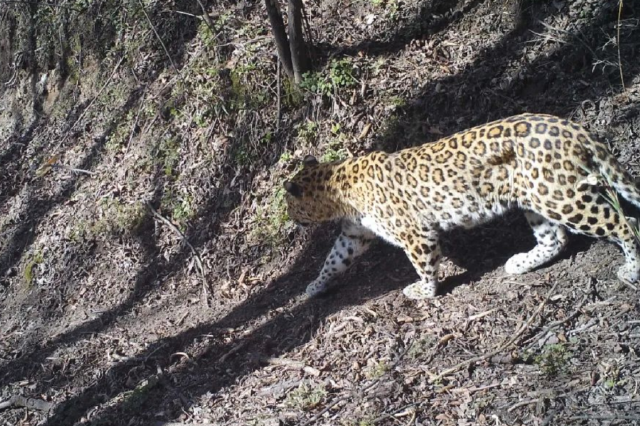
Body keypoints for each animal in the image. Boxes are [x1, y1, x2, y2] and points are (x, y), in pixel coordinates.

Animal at [282, 113, 640, 300]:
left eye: (289, 206)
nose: (289, 220)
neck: (335, 191)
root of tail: (570, 125)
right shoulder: (354, 234)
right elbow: (333, 260)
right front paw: (313, 287)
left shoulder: (416, 234)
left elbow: (424, 266)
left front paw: (423, 291)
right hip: (535, 198)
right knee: (555, 239)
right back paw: (520, 263)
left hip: (559, 196)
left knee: (625, 223)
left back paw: (631, 269)